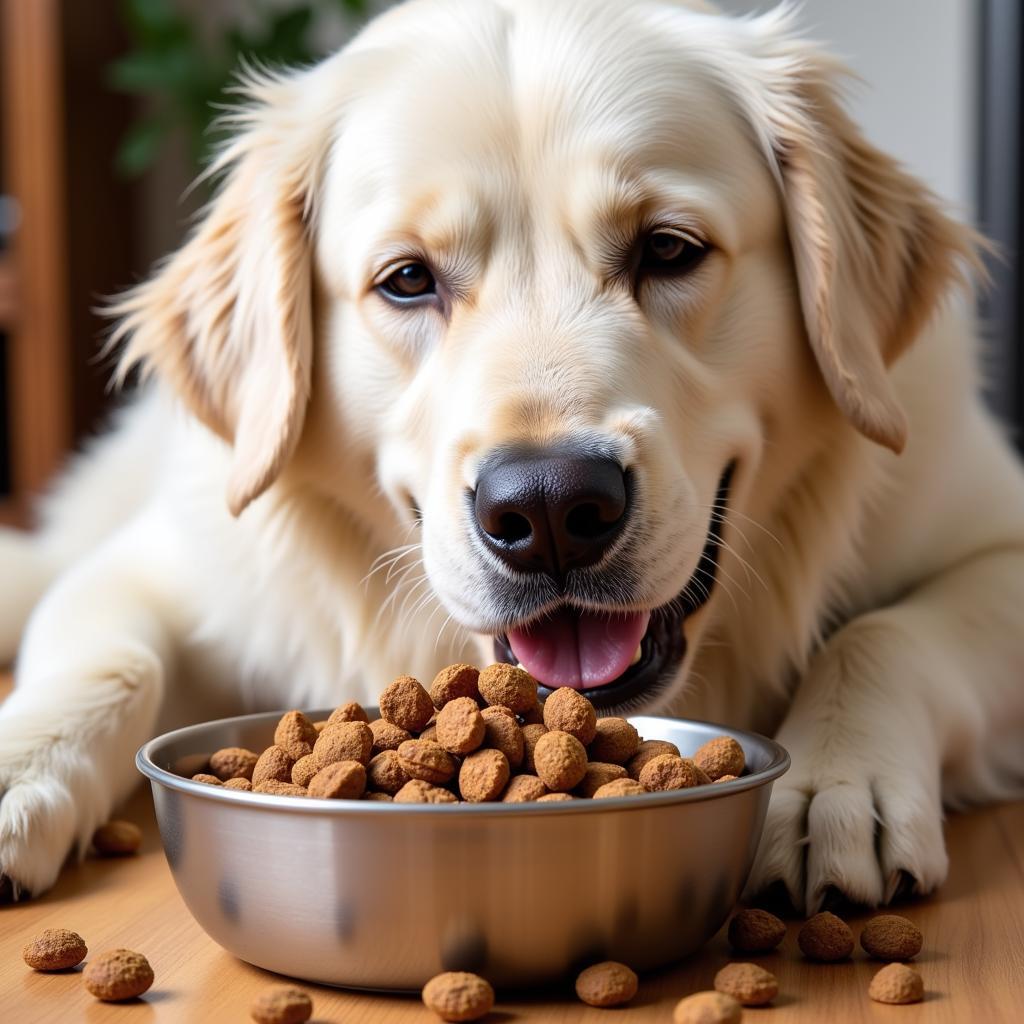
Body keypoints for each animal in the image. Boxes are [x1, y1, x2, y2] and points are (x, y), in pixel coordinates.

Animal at [2, 0, 1024, 913]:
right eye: (406, 280)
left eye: (669, 249)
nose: (549, 510)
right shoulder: (170, 569)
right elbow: (112, 664)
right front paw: (19, 766)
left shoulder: (990, 531)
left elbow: (879, 635)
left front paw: (831, 790)